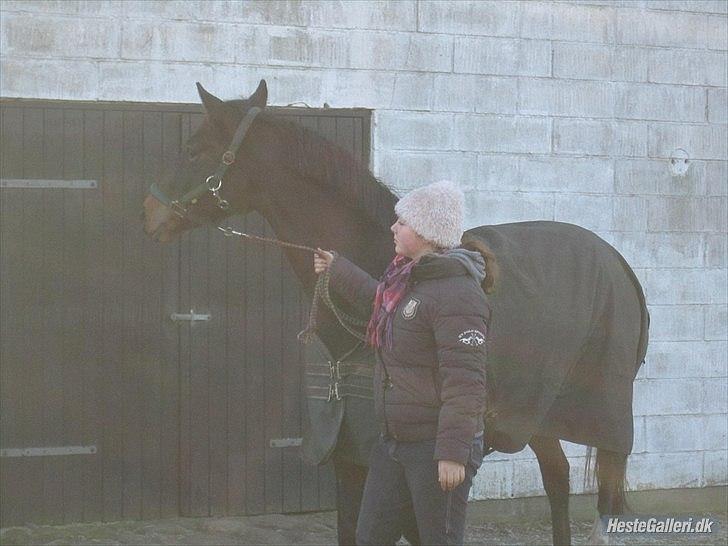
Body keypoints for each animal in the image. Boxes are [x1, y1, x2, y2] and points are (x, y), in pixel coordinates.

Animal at [141, 82, 648, 544]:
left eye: (192, 151)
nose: (149, 213)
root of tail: (617, 262)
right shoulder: (351, 458)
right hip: (536, 412)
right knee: (558, 478)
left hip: (604, 417)